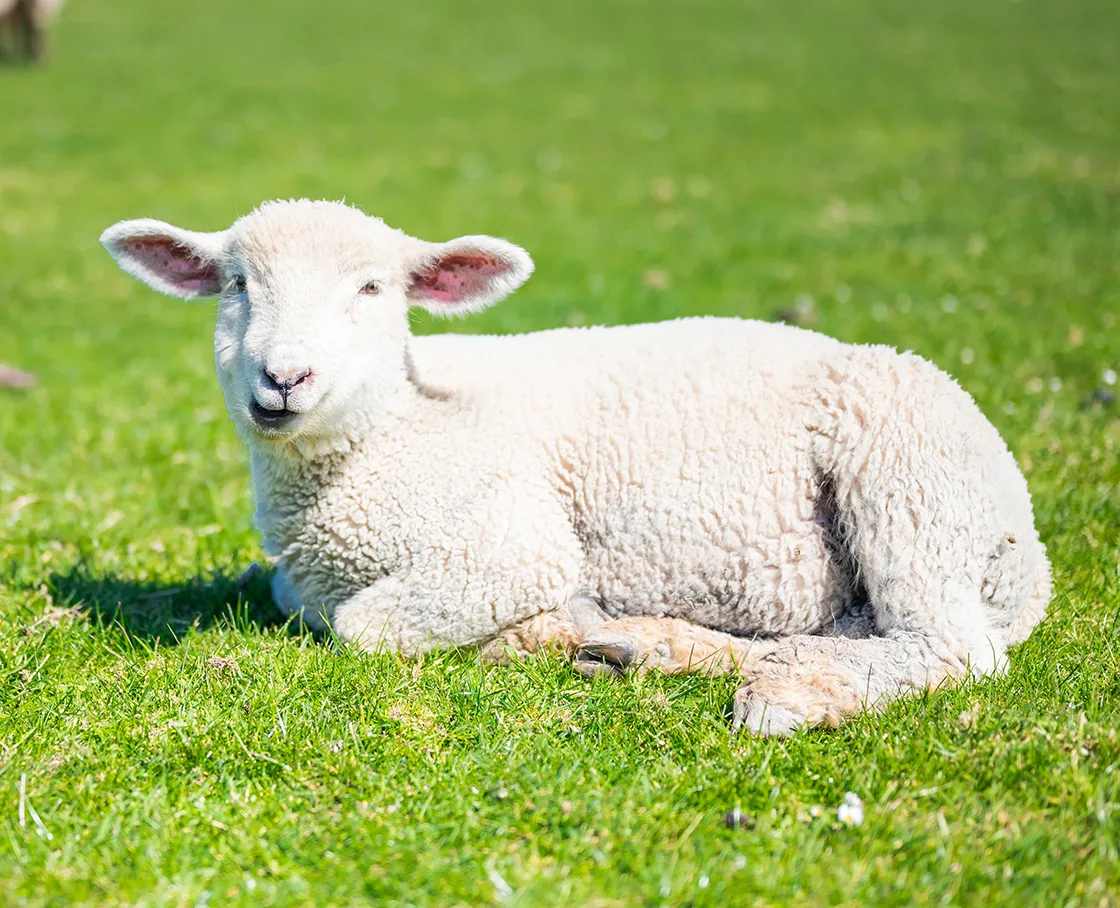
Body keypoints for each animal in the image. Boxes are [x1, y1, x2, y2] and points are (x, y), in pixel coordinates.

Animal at [100, 199, 1051, 735]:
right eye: (236, 284)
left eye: (373, 289)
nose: (284, 378)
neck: (396, 431)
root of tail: (1027, 549)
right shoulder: (300, 578)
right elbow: (316, 608)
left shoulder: (513, 545)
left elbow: (362, 626)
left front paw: (531, 629)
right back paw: (649, 646)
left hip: (902, 475)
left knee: (949, 647)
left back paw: (789, 696)